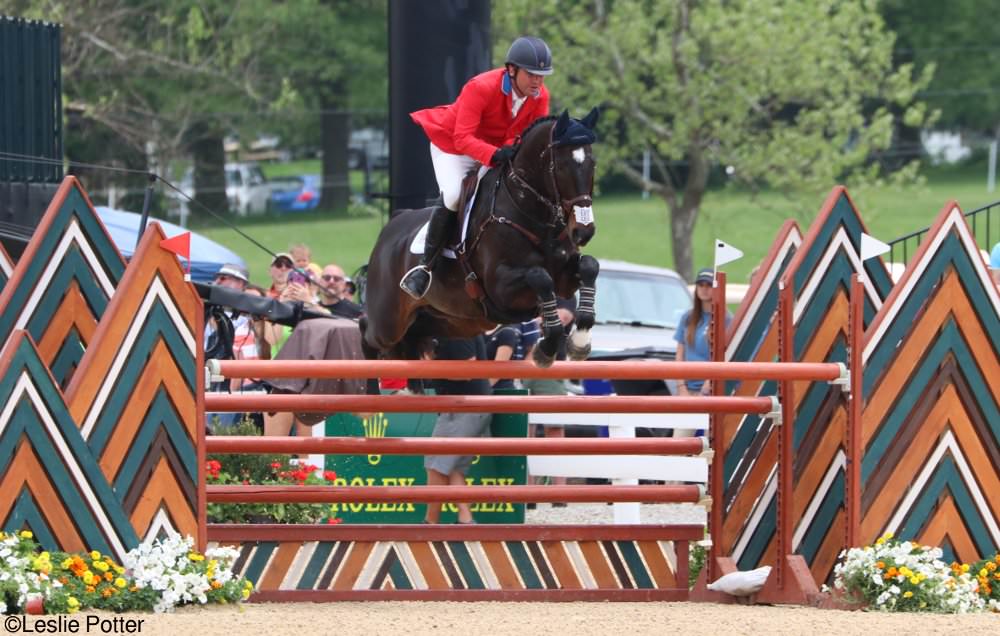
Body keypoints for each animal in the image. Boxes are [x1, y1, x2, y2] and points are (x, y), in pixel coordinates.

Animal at [362, 108, 600, 368]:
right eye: (562, 166)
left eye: (593, 163)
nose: (584, 231)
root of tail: (393, 222)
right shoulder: (500, 287)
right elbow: (540, 277)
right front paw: (546, 349)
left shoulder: (564, 280)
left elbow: (590, 266)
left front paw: (579, 342)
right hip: (388, 322)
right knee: (367, 330)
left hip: (454, 320)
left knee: (413, 337)